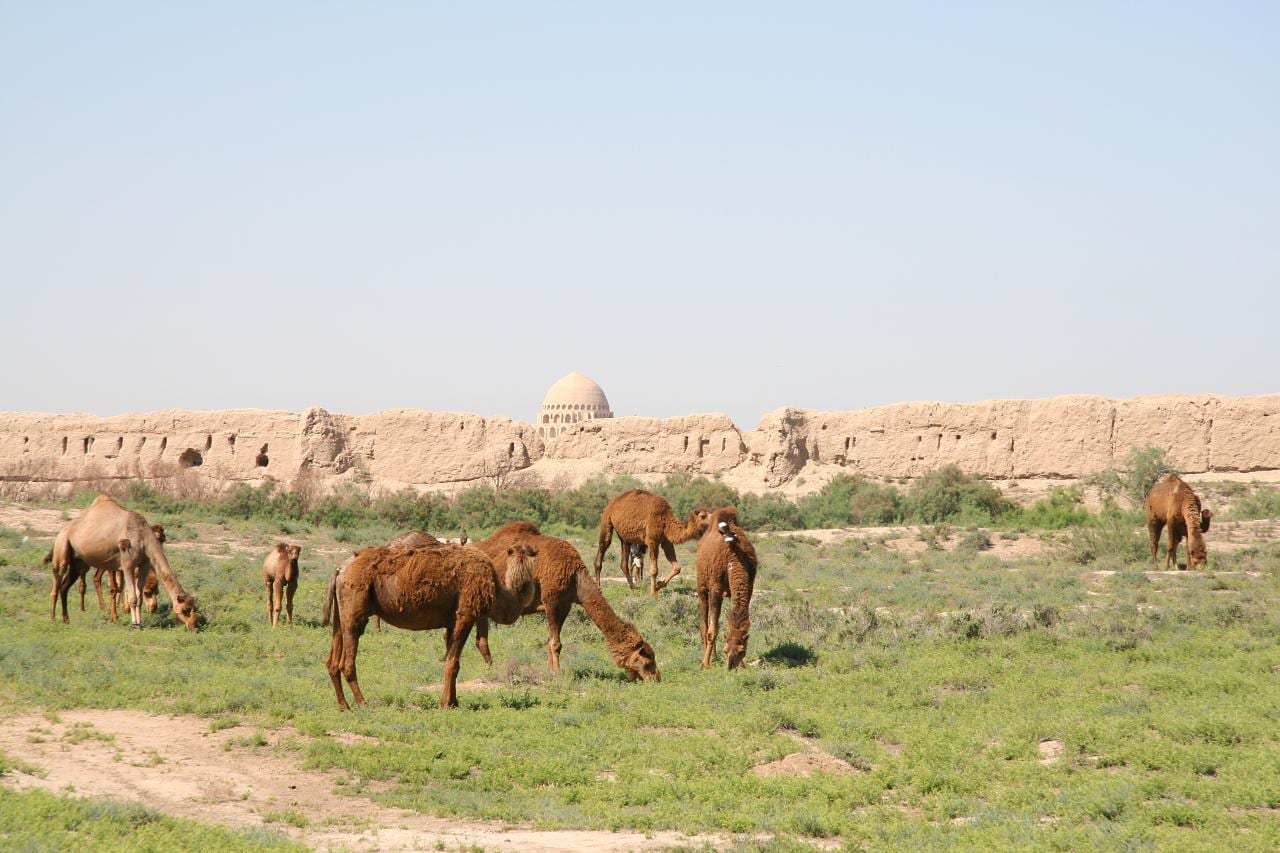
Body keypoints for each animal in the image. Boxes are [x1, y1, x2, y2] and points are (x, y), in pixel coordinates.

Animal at [47, 495, 198, 630]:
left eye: (193, 608)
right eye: (185, 610)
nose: (193, 626)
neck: (143, 538)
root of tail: (63, 530)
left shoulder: (144, 564)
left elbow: (139, 597)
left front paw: (140, 622)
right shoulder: (127, 564)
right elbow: (133, 597)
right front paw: (134, 624)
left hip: (78, 563)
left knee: (64, 587)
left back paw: (66, 619)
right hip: (61, 550)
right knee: (56, 584)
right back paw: (53, 619)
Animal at [326, 543, 538, 709]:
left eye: (529, 553)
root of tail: (340, 570)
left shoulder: (451, 622)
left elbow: (454, 662)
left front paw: (454, 702)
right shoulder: (465, 615)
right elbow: (452, 663)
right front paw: (445, 704)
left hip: (340, 615)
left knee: (332, 661)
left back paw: (344, 705)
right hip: (354, 609)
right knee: (347, 662)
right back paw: (363, 703)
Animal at [477, 522, 661, 682]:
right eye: (647, 660)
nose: (656, 678)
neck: (574, 577)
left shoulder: (565, 605)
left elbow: (550, 641)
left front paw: (551, 671)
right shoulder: (552, 601)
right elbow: (555, 643)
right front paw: (558, 674)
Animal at [696, 508, 758, 669]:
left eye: (742, 651)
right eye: (725, 651)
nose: (731, 666)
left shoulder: (749, 588)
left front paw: (743, 666)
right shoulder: (715, 589)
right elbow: (712, 630)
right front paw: (705, 664)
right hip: (702, 587)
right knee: (704, 625)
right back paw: (709, 658)